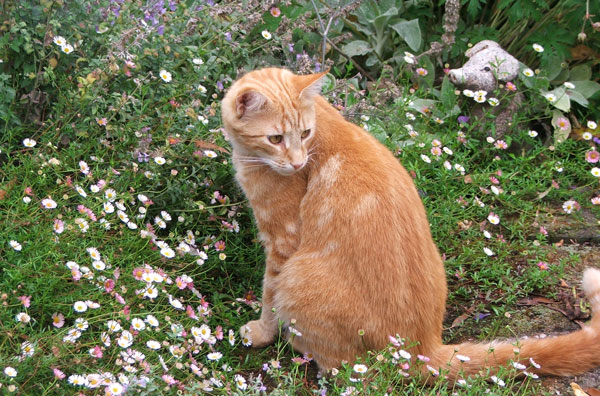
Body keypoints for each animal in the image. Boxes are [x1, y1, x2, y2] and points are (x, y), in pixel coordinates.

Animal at [220, 67, 600, 378]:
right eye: (276, 139)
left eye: (305, 133)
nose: (299, 164)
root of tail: (422, 348)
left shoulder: (282, 241)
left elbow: (269, 293)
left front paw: (262, 332)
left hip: (299, 278)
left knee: (343, 367)